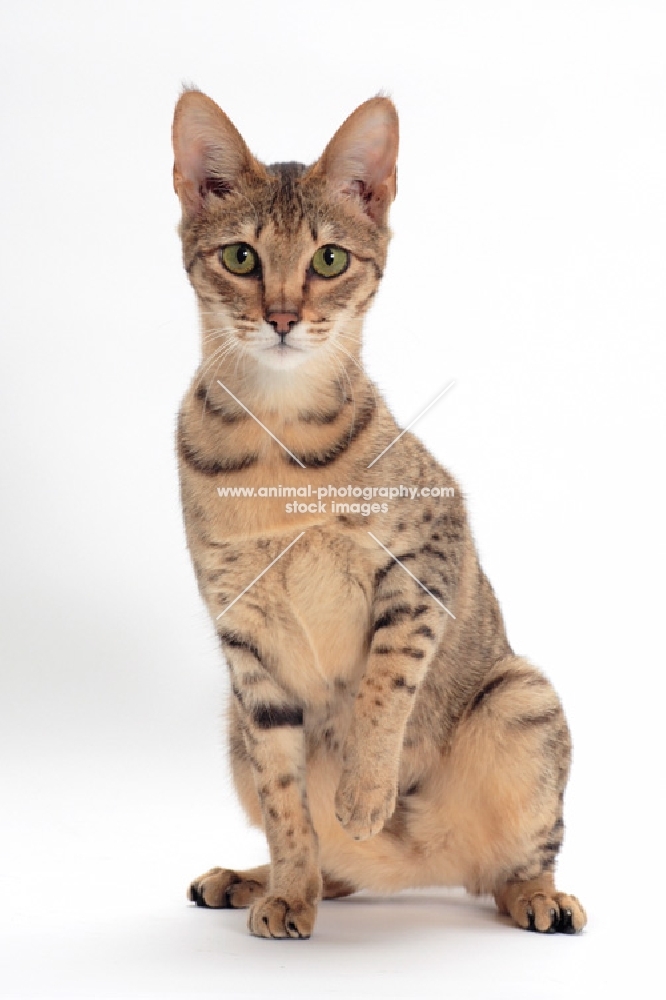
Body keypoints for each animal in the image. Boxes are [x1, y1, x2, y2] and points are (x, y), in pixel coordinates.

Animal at [172, 90, 588, 940]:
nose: (283, 316)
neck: (276, 436)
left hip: (522, 698)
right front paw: (287, 891)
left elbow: (385, 686)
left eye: (329, 260)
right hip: (233, 728)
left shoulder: (428, 557)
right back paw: (254, 880)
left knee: (513, 865)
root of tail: (420, 868)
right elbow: (286, 801)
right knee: (338, 870)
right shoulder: (245, 644)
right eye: (241, 258)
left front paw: (365, 792)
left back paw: (539, 896)